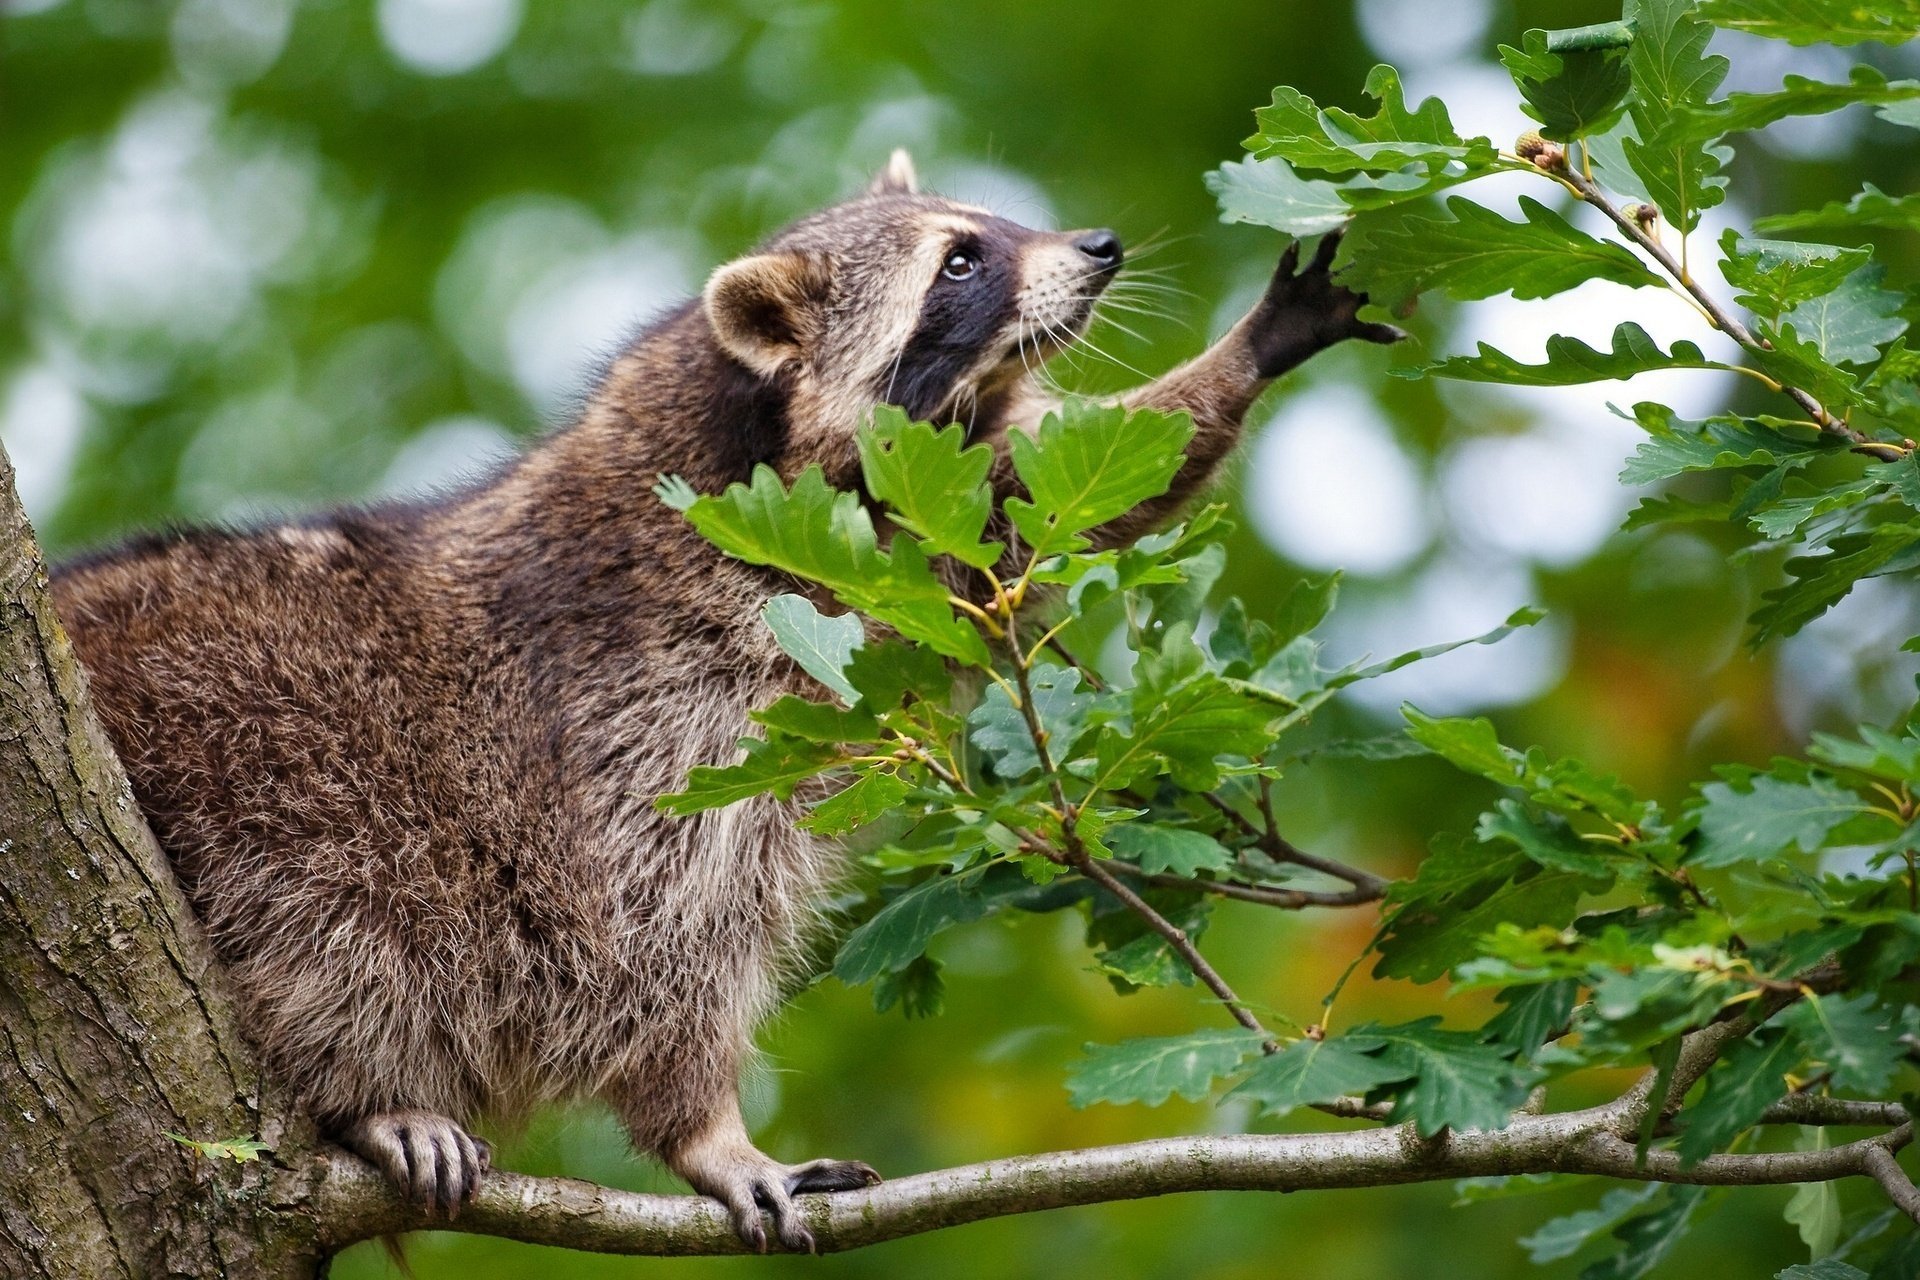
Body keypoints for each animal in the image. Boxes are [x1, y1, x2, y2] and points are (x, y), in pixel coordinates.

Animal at [50, 150, 1398, 1252]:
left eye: (994, 221)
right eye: (960, 259)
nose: (1100, 247)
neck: (755, 436)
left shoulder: (928, 534)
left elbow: (1076, 486)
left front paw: (1246, 348)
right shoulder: (653, 697)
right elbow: (655, 935)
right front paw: (706, 1131)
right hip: (257, 744)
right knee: (341, 912)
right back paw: (371, 1092)